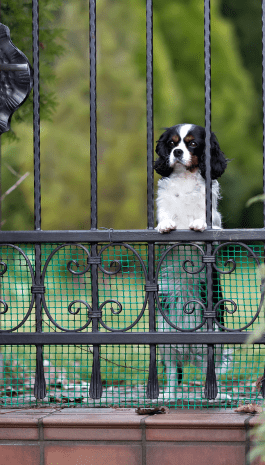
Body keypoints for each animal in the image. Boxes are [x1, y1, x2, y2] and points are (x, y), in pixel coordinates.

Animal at [154, 122, 230, 396]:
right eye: (172, 143)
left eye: (193, 144)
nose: (177, 152)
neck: (185, 177)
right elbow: (165, 220)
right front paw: (165, 225)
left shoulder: (215, 230)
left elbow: (208, 224)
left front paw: (199, 223)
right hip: (165, 337)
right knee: (172, 372)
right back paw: (168, 395)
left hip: (214, 335)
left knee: (212, 369)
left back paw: (216, 394)